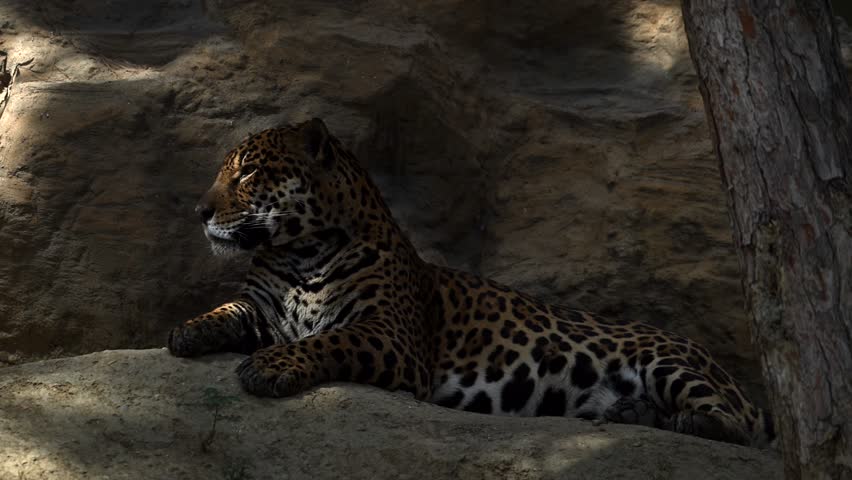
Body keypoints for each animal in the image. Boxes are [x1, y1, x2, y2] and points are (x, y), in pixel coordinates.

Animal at [167, 118, 775, 448]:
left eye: (248, 172)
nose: (199, 211)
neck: (299, 254)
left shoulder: (391, 336)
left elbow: (330, 339)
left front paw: (271, 366)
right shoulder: (261, 308)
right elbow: (226, 311)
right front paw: (187, 331)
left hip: (673, 362)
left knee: (737, 428)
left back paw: (684, 420)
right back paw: (628, 414)